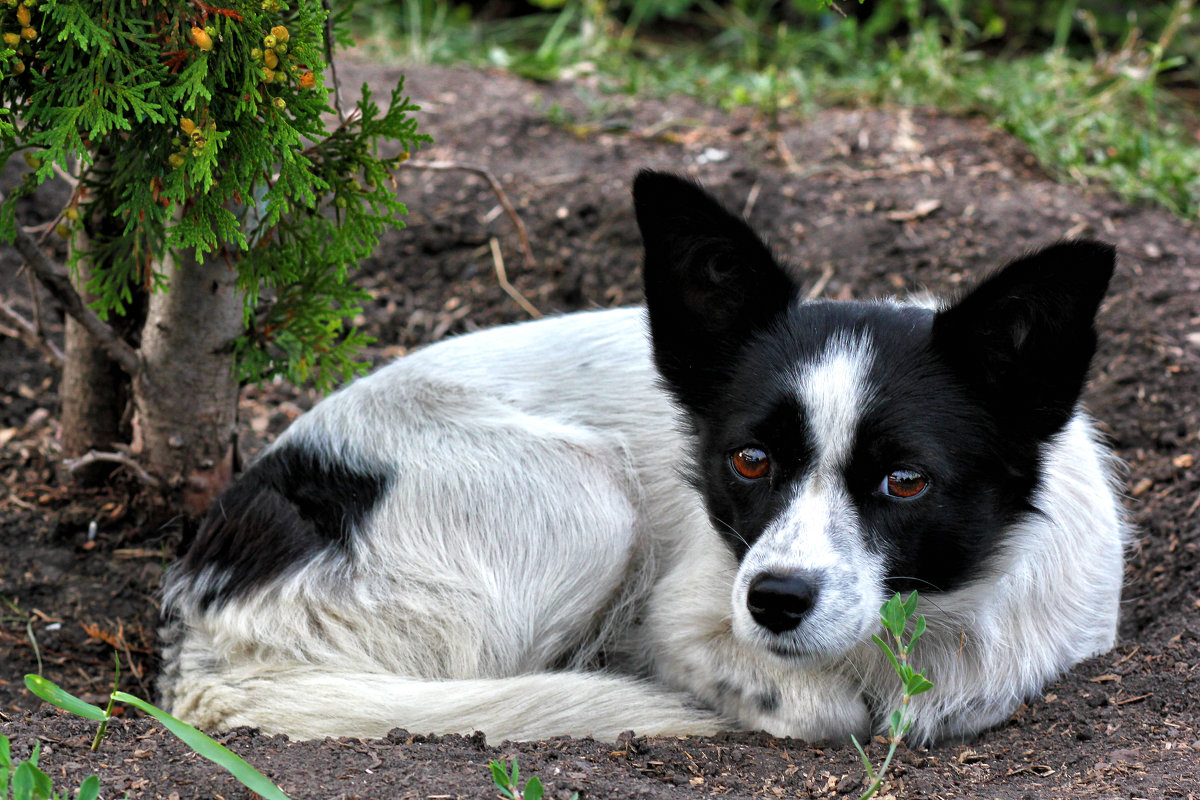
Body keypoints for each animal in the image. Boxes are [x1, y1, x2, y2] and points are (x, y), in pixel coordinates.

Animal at [157, 169, 1123, 743]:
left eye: (906, 481)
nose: (774, 603)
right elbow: (812, 707)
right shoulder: (684, 617)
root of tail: (206, 639)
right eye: (748, 461)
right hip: (586, 495)